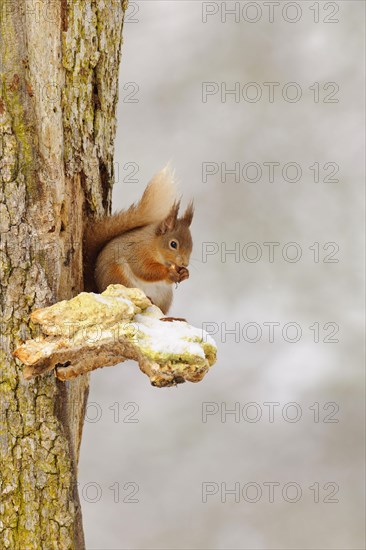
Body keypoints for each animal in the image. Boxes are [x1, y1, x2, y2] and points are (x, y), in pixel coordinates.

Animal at [82, 167, 192, 314]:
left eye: (192, 244)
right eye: (173, 244)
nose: (185, 263)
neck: (152, 244)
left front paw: (185, 274)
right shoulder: (137, 252)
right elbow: (144, 270)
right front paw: (169, 272)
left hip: (165, 295)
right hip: (120, 278)